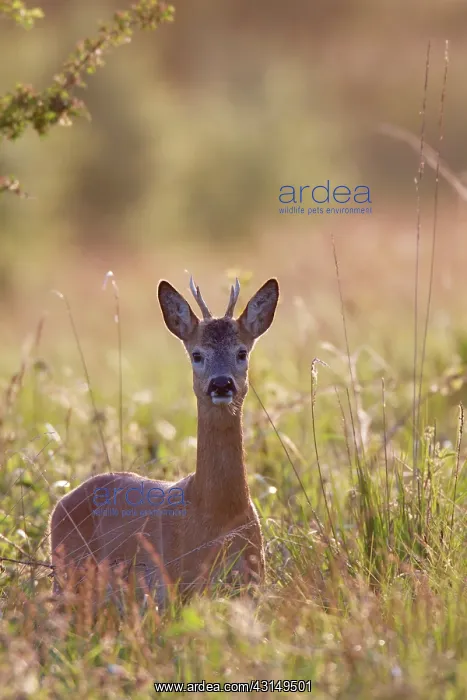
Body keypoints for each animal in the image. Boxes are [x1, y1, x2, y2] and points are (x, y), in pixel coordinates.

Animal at [50, 276, 279, 607]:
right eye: (197, 354)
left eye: (242, 352)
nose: (221, 384)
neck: (217, 514)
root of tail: (59, 504)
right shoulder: (174, 585)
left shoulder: (254, 581)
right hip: (67, 575)